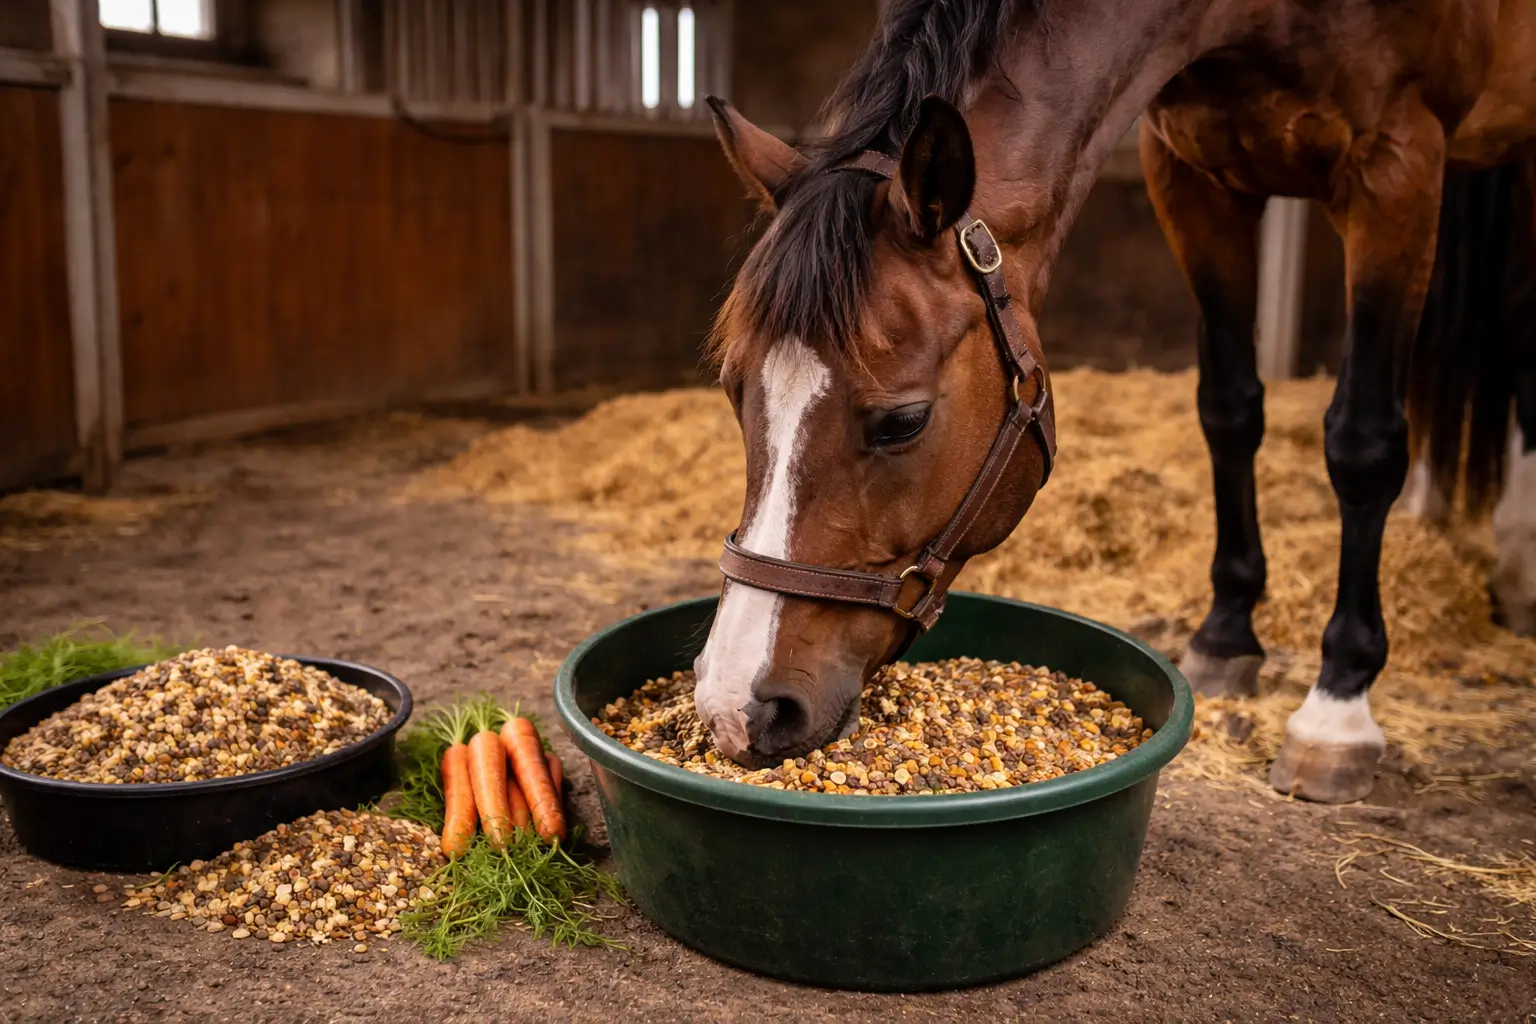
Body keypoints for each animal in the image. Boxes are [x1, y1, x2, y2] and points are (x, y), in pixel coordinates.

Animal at [692, 0, 1536, 803]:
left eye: (904, 422)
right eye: (735, 392)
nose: (736, 707)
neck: (1261, 14)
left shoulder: (1395, 165)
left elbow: (1362, 440)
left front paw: (1337, 710)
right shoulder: (1194, 176)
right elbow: (1230, 409)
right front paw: (1226, 636)